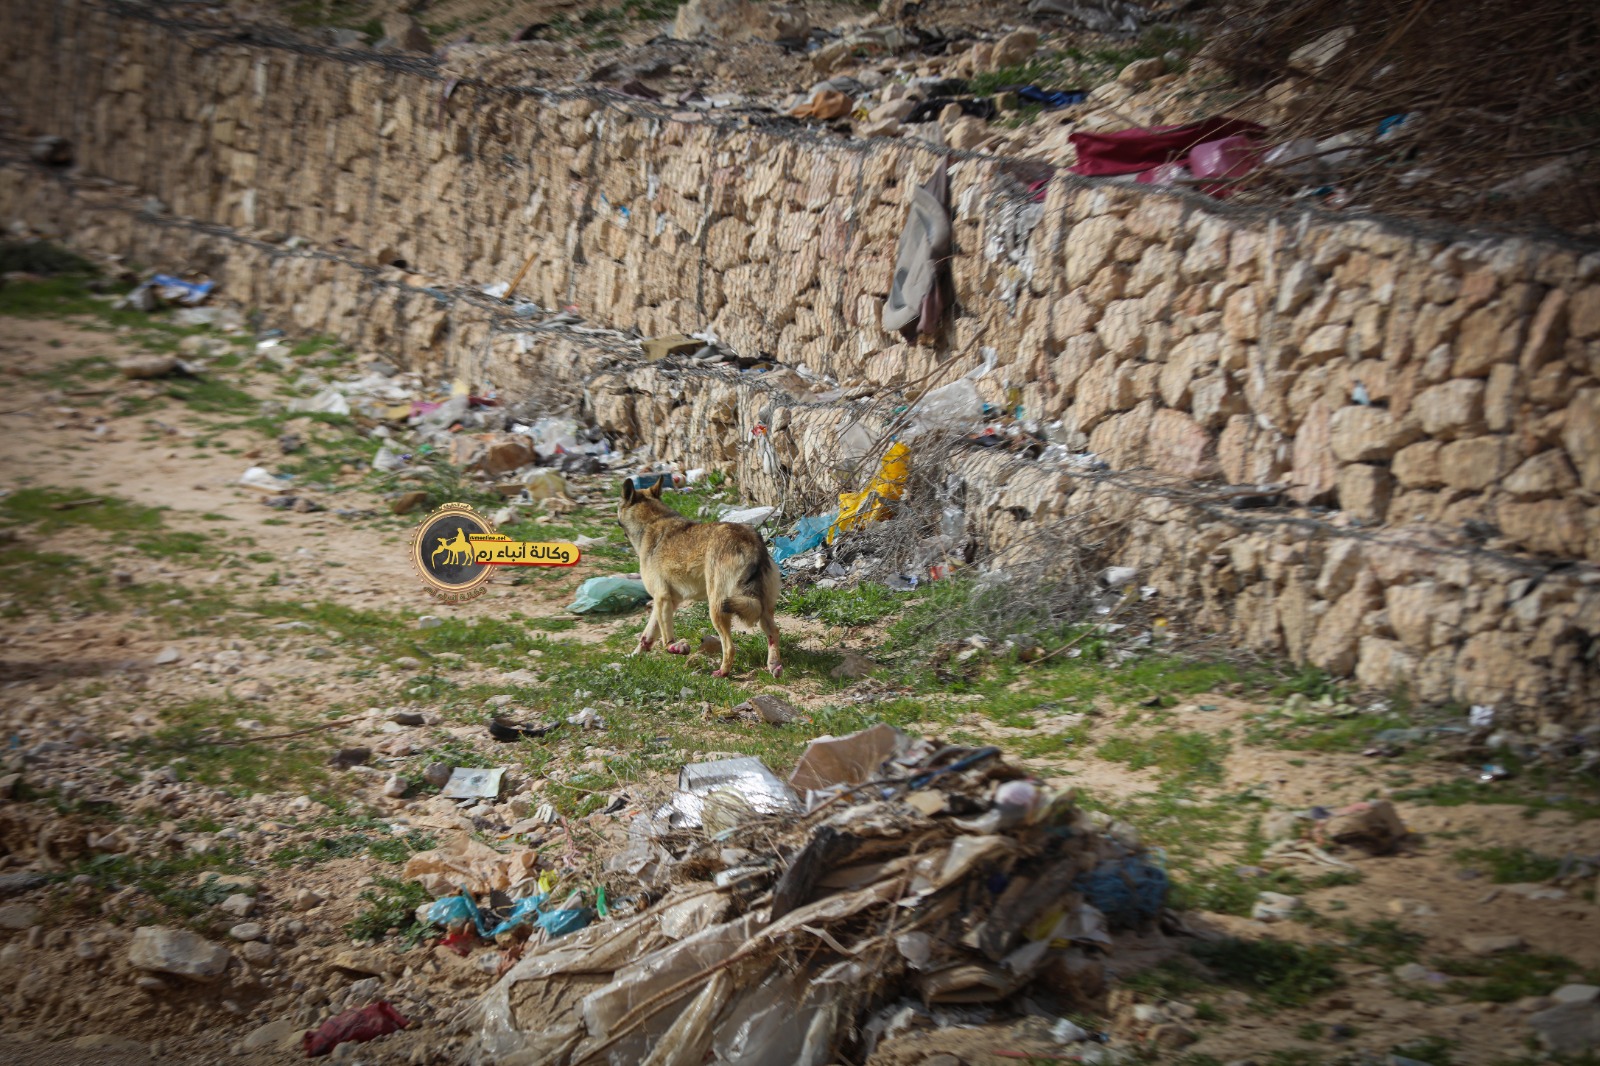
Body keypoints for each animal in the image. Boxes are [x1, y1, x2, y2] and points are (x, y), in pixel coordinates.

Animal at [617, 479, 782, 678]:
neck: (653, 521)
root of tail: (751, 541)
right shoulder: (665, 602)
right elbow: (647, 635)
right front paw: (633, 656)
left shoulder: (662, 598)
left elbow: (665, 639)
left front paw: (675, 647)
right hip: (762, 608)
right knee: (773, 632)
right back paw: (774, 664)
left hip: (717, 608)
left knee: (729, 647)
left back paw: (722, 672)